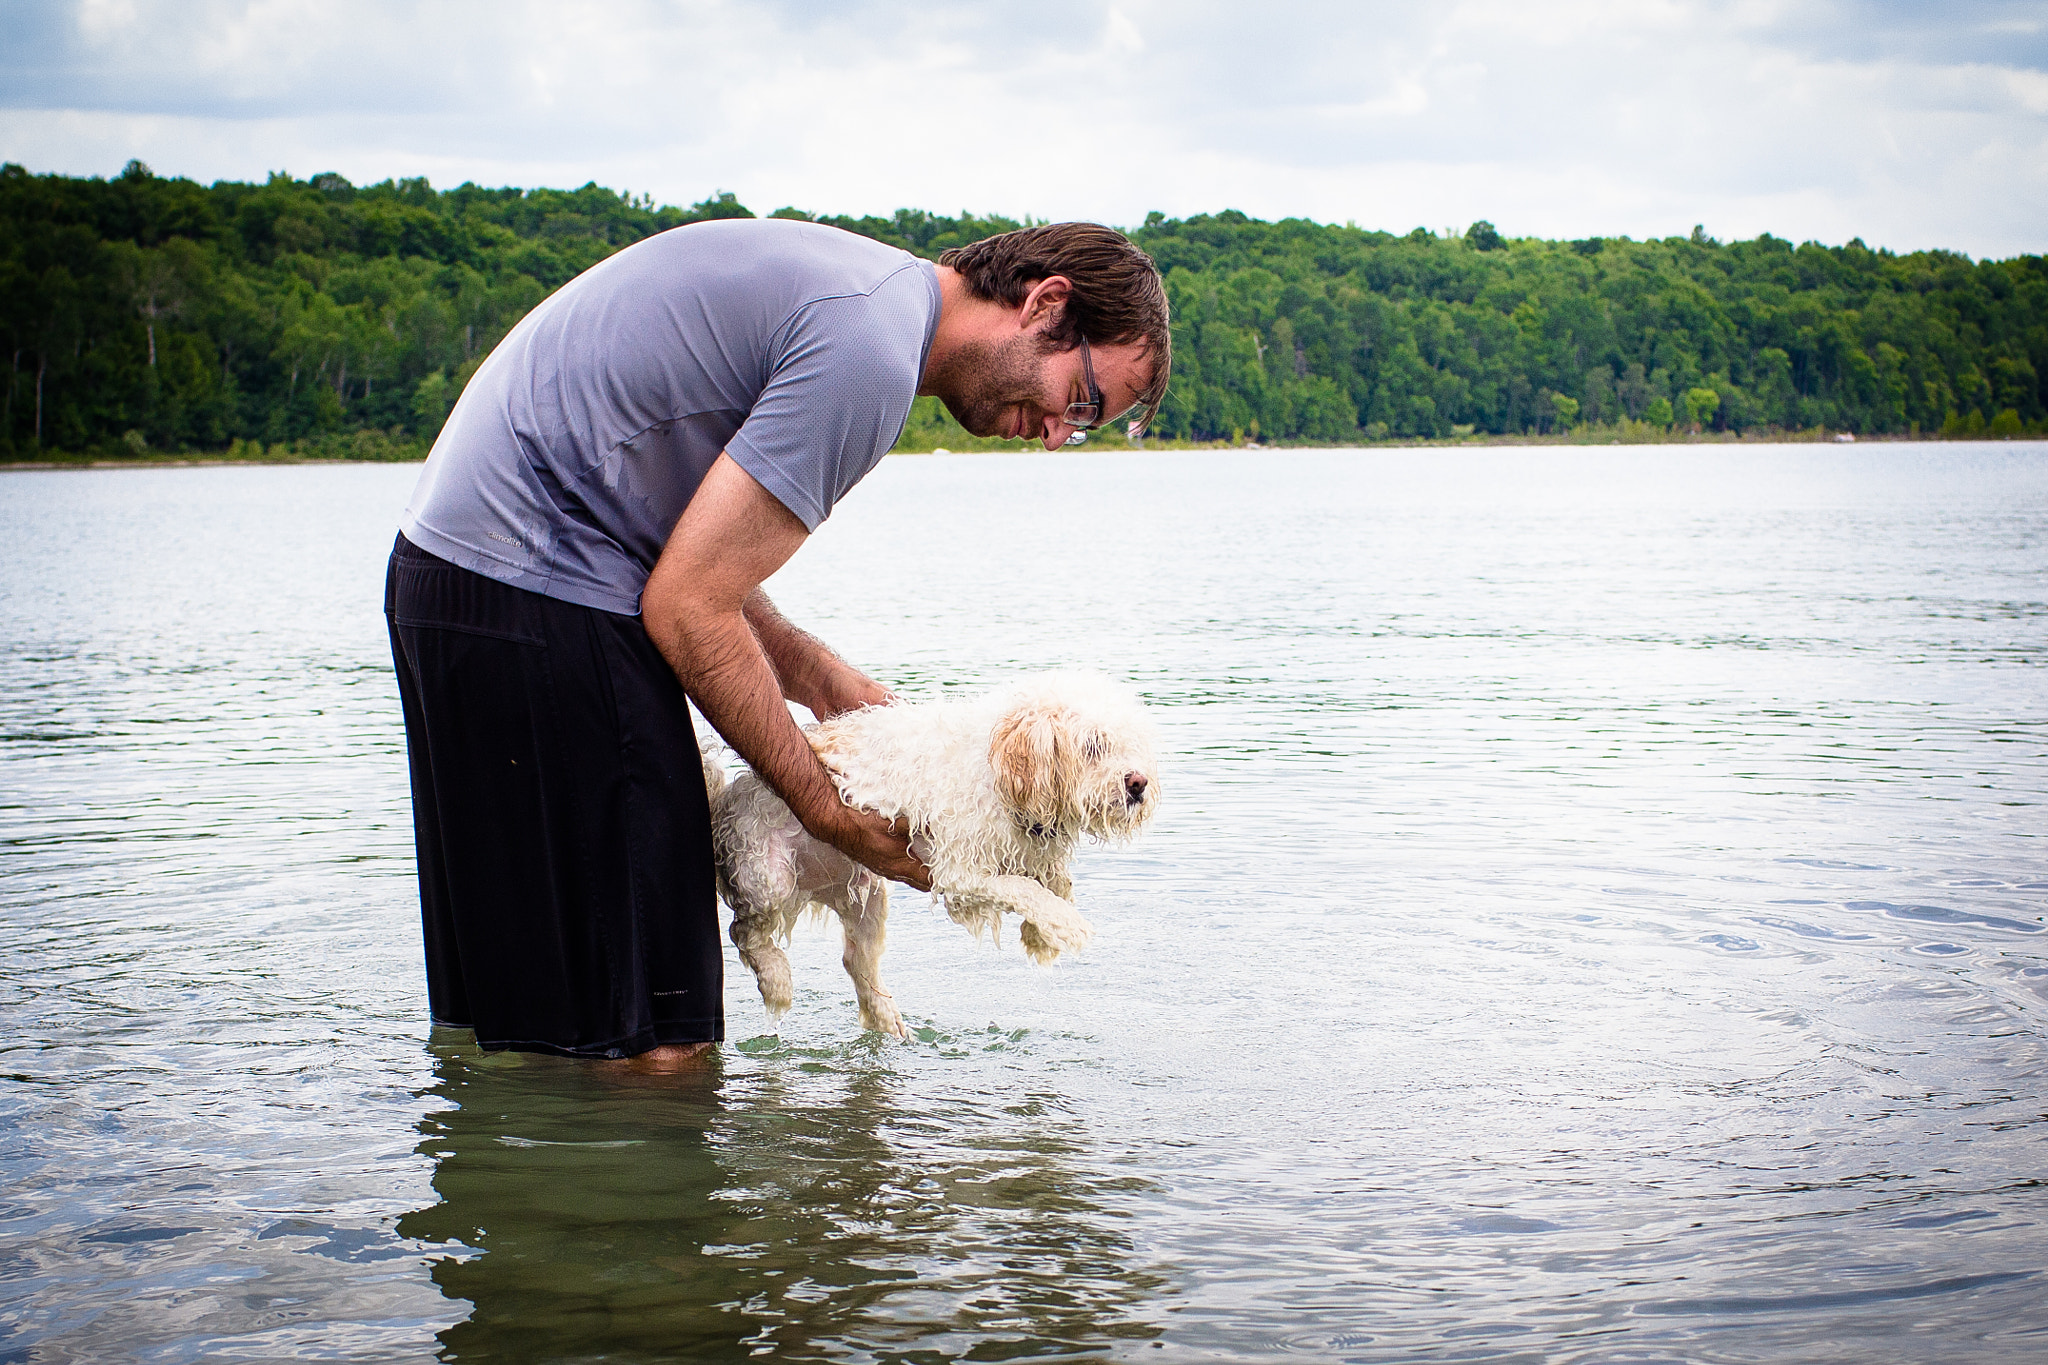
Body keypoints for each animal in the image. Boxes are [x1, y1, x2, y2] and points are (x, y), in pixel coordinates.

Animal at [700, 671, 1155, 1035]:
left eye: (1130, 744)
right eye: (1093, 746)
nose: (1138, 782)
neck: (998, 772)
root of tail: (724, 801)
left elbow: (1056, 881)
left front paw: (1041, 933)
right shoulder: (959, 874)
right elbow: (1024, 888)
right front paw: (1065, 925)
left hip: (867, 897)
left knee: (854, 961)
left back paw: (884, 1016)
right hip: (769, 878)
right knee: (742, 932)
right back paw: (776, 979)